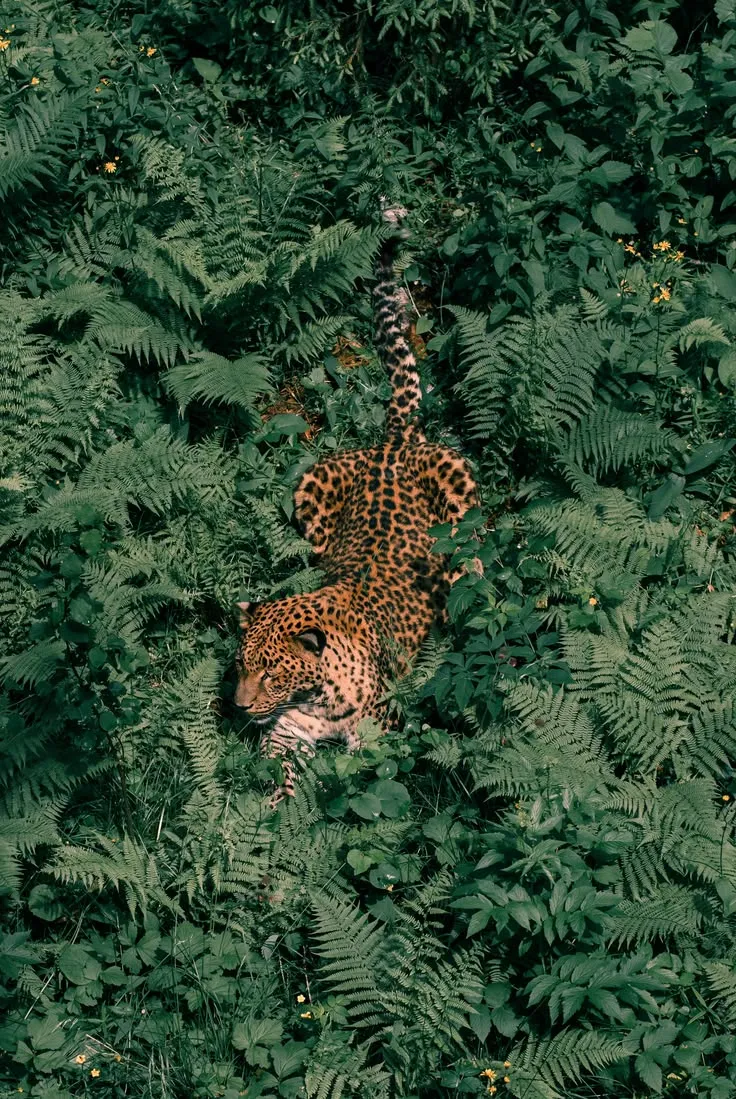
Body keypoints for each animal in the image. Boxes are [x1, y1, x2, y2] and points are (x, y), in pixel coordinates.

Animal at [235, 202, 479, 805]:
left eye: (271, 673)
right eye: (240, 667)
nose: (240, 707)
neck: (318, 696)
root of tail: (393, 441)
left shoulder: (380, 736)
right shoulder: (287, 734)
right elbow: (278, 785)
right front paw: (270, 815)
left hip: (459, 486)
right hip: (309, 490)